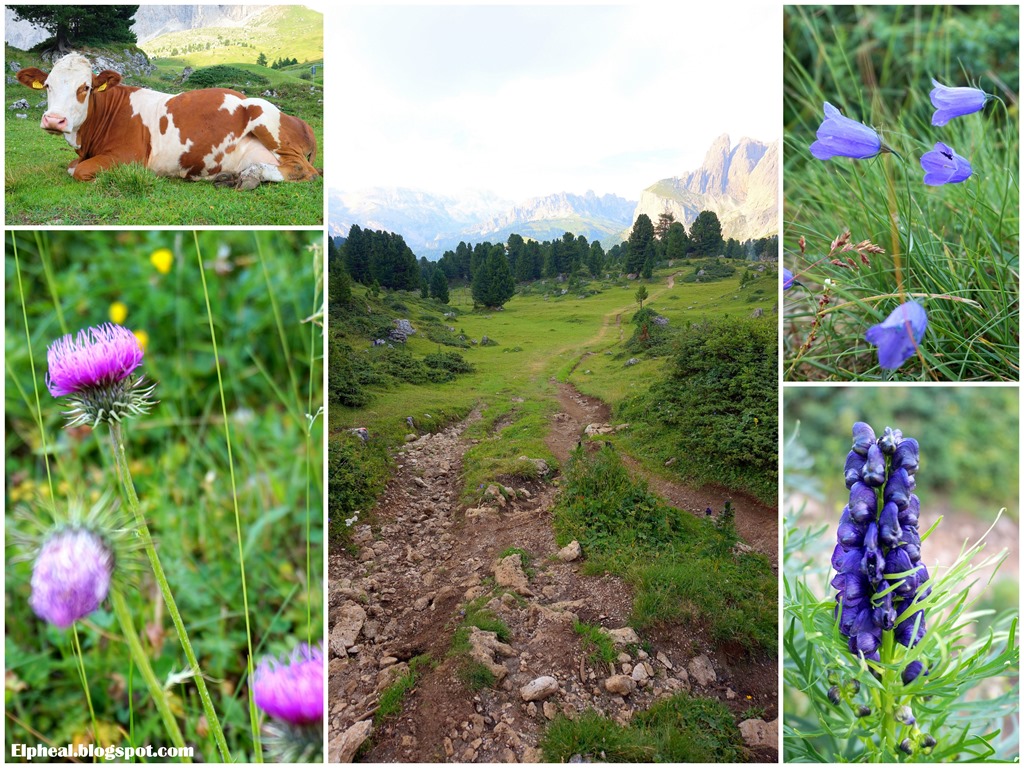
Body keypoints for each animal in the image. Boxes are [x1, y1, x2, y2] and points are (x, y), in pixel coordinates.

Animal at [17, 53, 319, 189]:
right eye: (47, 85)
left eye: (86, 87)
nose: (54, 120)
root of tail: (302, 121)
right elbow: (71, 166)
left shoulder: (129, 156)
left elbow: (79, 171)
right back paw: (232, 175)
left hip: (264, 116)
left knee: (303, 170)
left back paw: (249, 176)